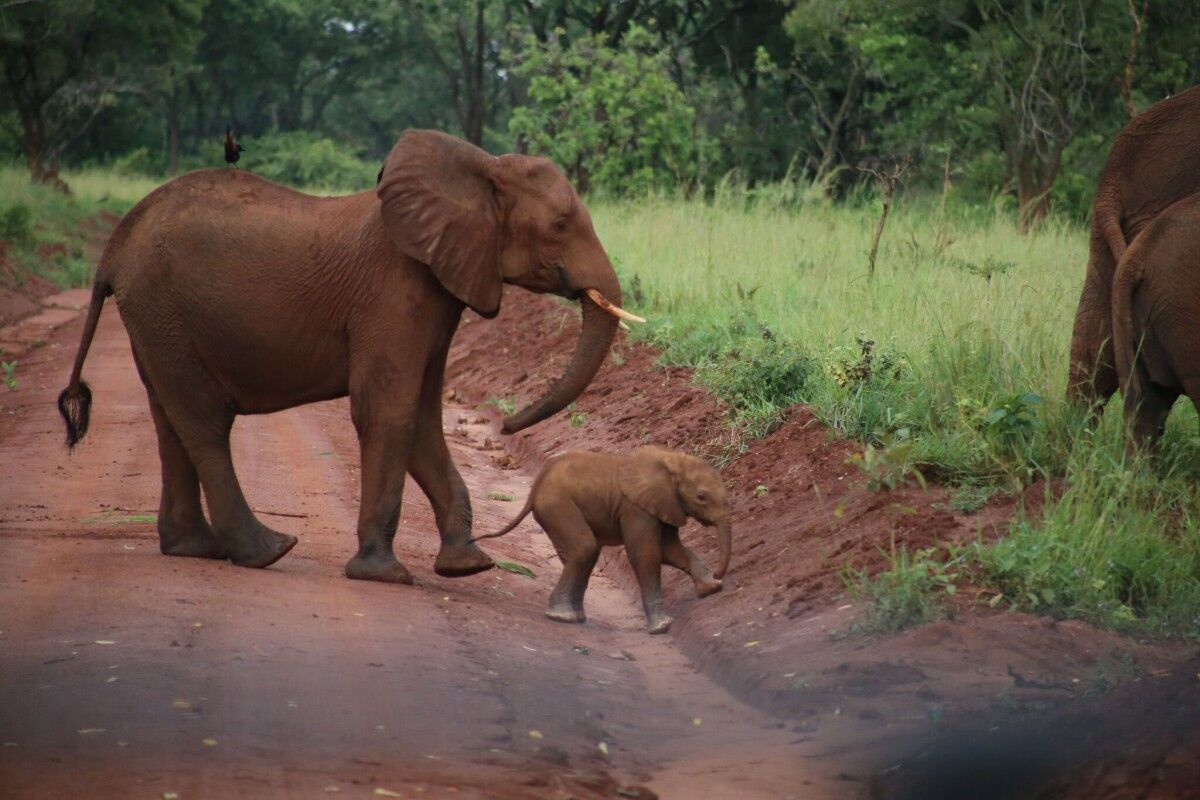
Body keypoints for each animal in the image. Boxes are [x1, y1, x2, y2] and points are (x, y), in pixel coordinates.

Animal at [56, 128, 638, 585]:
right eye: (560, 224)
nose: (507, 427)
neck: (480, 167)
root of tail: (114, 246)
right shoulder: (394, 291)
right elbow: (389, 412)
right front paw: (384, 575)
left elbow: (422, 420)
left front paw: (467, 566)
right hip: (163, 308)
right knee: (203, 421)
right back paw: (268, 552)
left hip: (157, 320)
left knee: (169, 416)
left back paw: (195, 549)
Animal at [470, 448, 729, 633]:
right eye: (702, 497)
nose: (719, 574)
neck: (671, 460)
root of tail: (535, 488)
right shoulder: (636, 509)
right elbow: (645, 553)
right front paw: (662, 627)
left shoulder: (665, 506)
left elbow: (671, 551)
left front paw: (711, 589)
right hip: (557, 505)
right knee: (584, 548)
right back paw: (561, 616)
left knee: (586, 553)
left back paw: (574, 617)